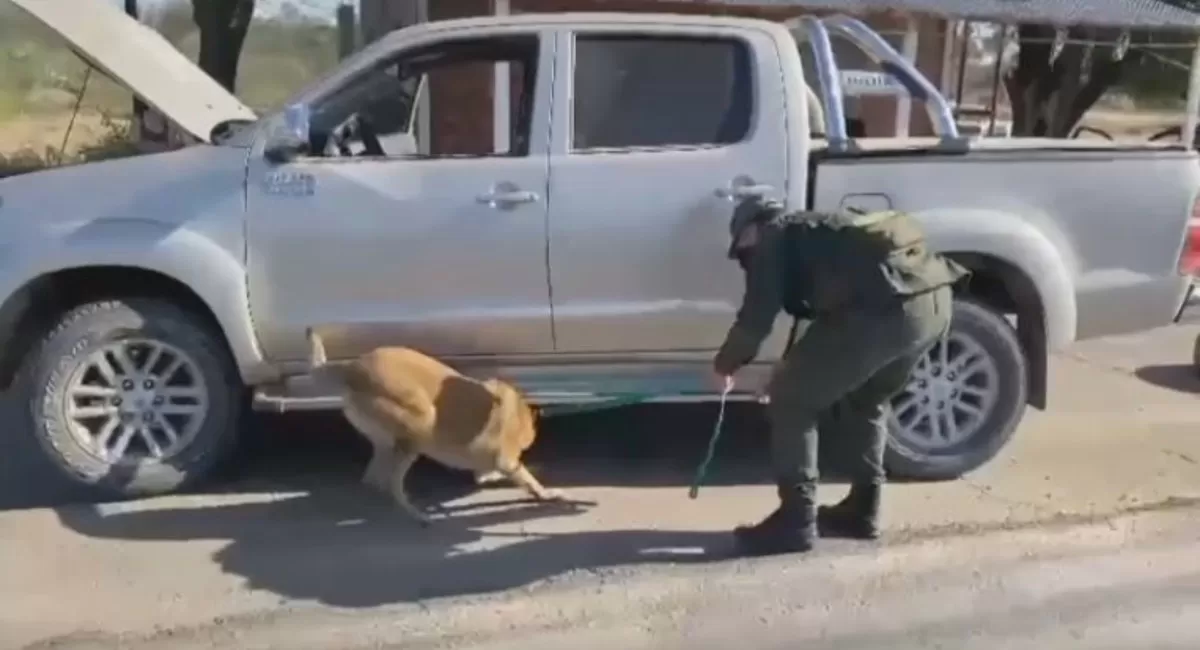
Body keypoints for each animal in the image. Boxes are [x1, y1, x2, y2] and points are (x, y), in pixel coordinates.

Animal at [312, 330, 568, 525]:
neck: (519, 414)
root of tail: (352, 367)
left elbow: (493, 473)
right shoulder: (506, 460)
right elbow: (527, 478)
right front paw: (545, 492)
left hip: (386, 443)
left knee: (373, 480)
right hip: (419, 423)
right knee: (391, 483)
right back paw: (417, 515)